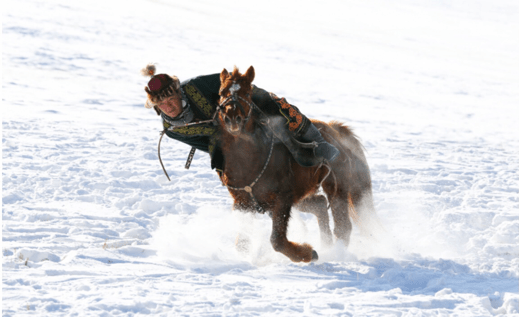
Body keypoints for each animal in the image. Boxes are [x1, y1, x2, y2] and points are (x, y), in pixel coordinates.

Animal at [217, 66, 376, 262]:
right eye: (222, 92)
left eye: (247, 93)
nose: (233, 118)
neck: (251, 161)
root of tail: (335, 130)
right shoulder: (242, 203)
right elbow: (242, 243)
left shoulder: (283, 199)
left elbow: (277, 240)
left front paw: (308, 253)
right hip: (302, 195)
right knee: (320, 204)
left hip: (336, 188)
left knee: (343, 226)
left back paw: (334, 252)